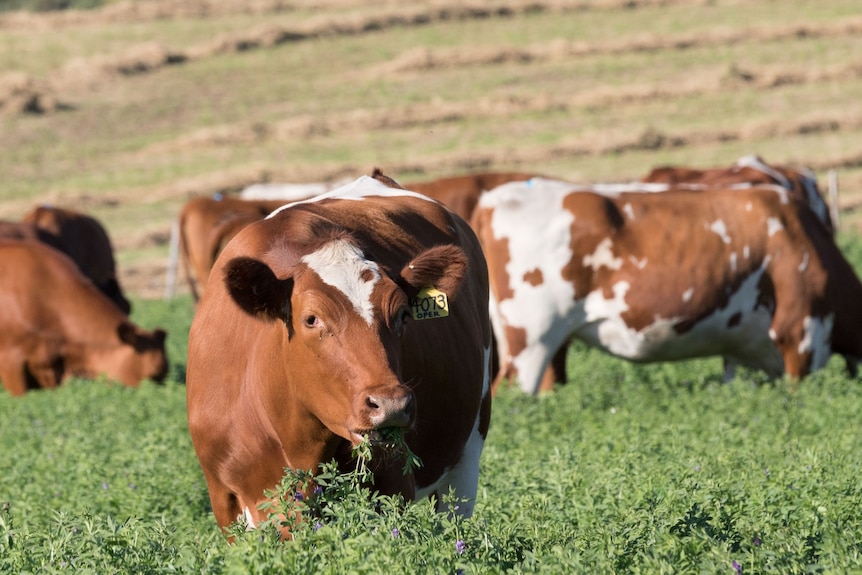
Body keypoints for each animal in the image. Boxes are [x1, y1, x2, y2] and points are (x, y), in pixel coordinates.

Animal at [187, 170, 492, 536]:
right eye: (311, 319)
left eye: (403, 314)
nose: (391, 404)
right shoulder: (225, 501)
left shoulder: (391, 487)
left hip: (468, 452)